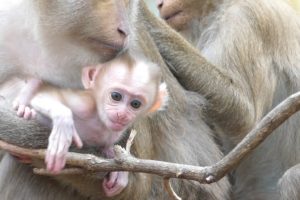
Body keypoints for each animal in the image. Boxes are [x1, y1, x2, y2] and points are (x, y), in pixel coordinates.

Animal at [12, 51, 168, 197]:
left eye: (135, 104)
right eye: (116, 96)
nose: (122, 114)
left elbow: (110, 150)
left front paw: (120, 172)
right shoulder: (84, 105)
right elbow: (43, 98)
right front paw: (63, 126)